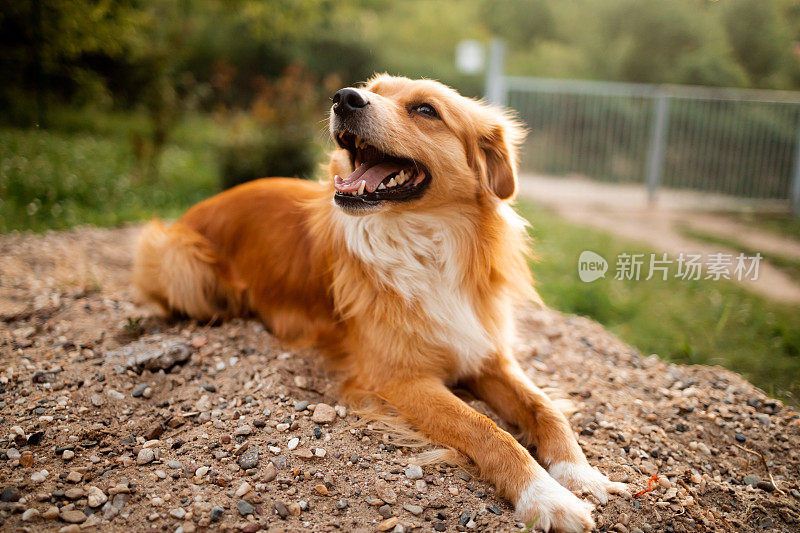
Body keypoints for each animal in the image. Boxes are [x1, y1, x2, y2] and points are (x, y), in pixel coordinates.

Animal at [134, 74, 628, 528]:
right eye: (369, 88)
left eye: (426, 110)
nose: (344, 98)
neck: (425, 244)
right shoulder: (399, 378)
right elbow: (487, 429)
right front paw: (546, 497)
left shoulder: (485, 352)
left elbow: (547, 409)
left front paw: (580, 475)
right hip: (183, 267)